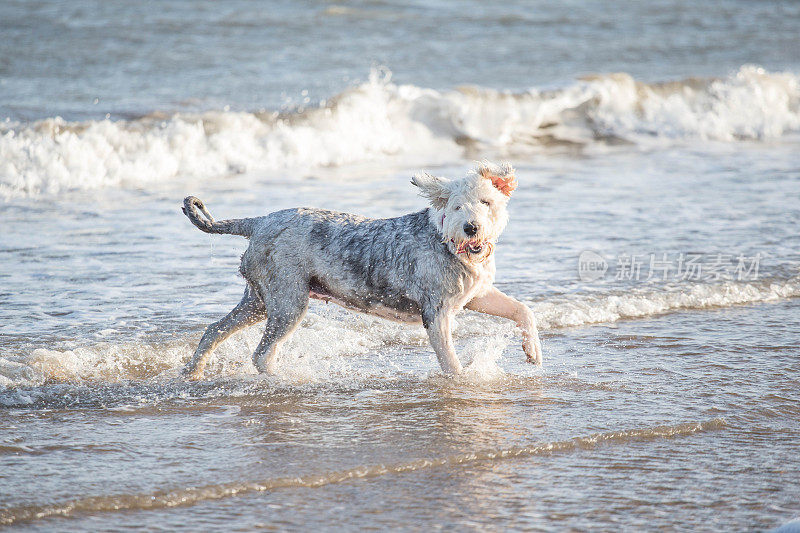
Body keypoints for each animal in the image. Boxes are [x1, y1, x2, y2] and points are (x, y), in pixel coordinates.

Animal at [181, 160, 544, 376]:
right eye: (456, 207)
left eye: (486, 202)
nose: (470, 228)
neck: (448, 242)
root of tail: (257, 222)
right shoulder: (436, 312)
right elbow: (451, 363)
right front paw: (464, 380)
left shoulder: (477, 294)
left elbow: (523, 310)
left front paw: (533, 353)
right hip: (288, 300)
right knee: (261, 354)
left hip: (259, 298)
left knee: (214, 330)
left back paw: (193, 372)